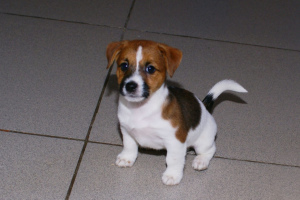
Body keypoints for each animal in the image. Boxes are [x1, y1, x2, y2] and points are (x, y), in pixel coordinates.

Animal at [105, 39, 246, 185]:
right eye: (124, 65)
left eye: (150, 68)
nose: (130, 85)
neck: (141, 109)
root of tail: (205, 107)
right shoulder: (127, 131)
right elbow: (129, 146)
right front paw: (127, 158)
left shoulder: (175, 141)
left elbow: (173, 159)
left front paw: (172, 175)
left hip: (203, 142)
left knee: (210, 150)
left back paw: (201, 161)